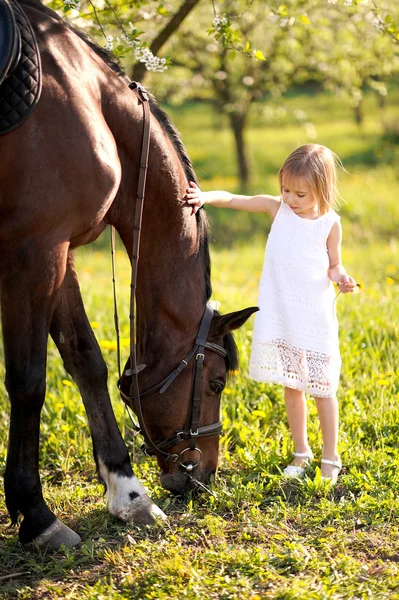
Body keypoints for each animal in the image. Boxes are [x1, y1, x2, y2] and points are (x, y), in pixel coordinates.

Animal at [0, 0, 256, 552]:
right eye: (216, 383)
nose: (204, 476)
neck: (91, 102)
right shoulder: (34, 250)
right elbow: (28, 381)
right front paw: (36, 515)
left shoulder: (59, 254)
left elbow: (86, 361)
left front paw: (128, 492)